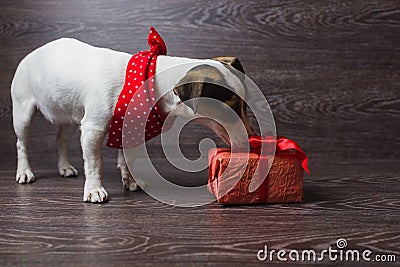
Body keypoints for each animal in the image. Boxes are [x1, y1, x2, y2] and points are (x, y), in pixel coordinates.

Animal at [12, 36, 256, 203]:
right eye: (232, 108)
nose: (253, 138)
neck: (148, 81)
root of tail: (34, 52)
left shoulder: (129, 128)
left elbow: (128, 159)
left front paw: (130, 181)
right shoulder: (92, 129)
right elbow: (95, 162)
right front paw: (94, 189)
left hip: (70, 115)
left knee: (61, 139)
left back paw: (64, 167)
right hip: (23, 112)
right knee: (22, 143)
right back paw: (24, 171)